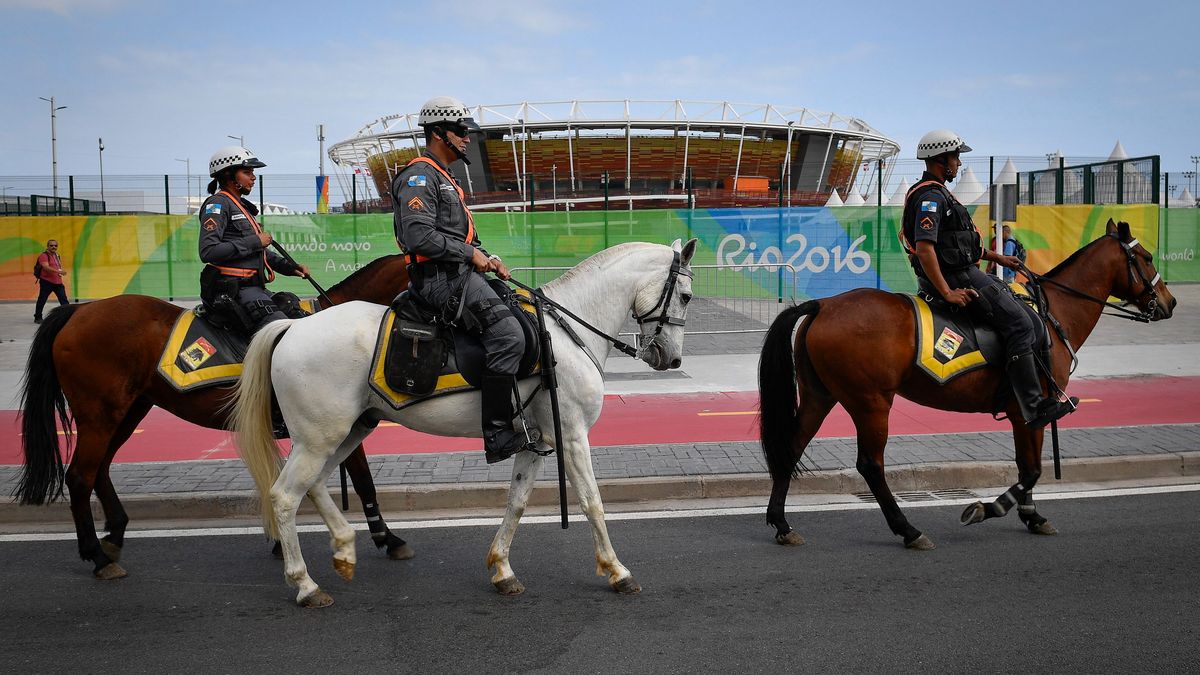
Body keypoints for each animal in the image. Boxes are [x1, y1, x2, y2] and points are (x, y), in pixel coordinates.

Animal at [12, 249, 417, 576]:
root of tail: (78, 310)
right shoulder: (333, 425)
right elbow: (363, 479)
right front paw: (388, 538)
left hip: (127, 412)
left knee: (100, 469)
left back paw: (114, 534)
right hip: (99, 414)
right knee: (80, 476)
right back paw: (96, 555)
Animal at [230, 237, 700, 605]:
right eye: (686, 296)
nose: (672, 359)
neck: (566, 331)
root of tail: (293, 327)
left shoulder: (537, 441)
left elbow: (517, 502)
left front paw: (502, 569)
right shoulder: (571, 436)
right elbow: (592, 502)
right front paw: (617, 570)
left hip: (345, 432)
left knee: (312, 486)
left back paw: (345, 549)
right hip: (319, 438)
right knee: (284, 496)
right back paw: (305, 584)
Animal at [758, 219, 1171, 547]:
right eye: (1148, 256)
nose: (1170, 303)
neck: (1052, 313)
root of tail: (823, 305)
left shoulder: (1022, 414)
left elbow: (1027, 465)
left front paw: (1031, 515)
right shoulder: (1031, 409)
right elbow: (1031, 470)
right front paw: (991, 508)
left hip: (820, 396)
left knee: (791, 448)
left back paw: (782, 524)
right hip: (871, 402)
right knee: (870, 465)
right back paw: (907, 530)